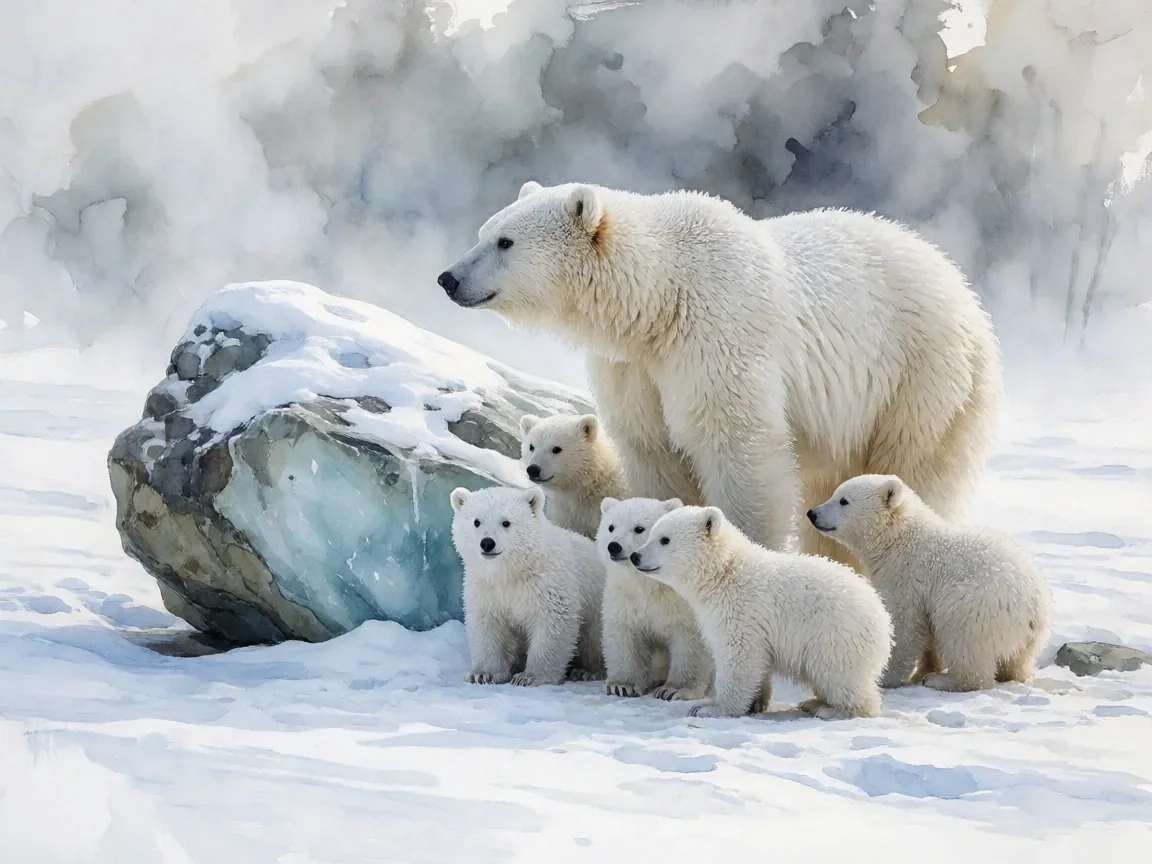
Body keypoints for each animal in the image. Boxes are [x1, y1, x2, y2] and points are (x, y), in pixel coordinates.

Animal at [438, 181, 1001, 570]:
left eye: (505, 242)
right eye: (484, 232)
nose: (448, 278)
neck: (659, 299)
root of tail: (961, 284)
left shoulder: (717, 334)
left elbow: (738, 446)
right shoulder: (634, 366)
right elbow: (655, 449)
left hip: (922, 379)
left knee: (914, 469)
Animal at [450, 485, 606, 685]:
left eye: (506, 522)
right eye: (477, 522)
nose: (487, 543)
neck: (513, 571)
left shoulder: (548, 584)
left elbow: (551, 625)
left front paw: (529, 677)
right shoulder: (486, 588)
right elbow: (488, 625)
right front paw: (483, 674)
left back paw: (586, 671)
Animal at [597, 496, 712, 701]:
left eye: (639, 528)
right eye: (611, 527)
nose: (614, 546)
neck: (650, 584)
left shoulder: (683, 606)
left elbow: (689, 642)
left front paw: (674, 690)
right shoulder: (625, 598)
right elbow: (624, 634)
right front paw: (621, 685)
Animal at [630, 504, 893, 720]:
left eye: (664, 539)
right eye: (650, 533)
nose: (635, 556)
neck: (725, 572)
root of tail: (883, 618)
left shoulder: (740, 611)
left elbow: (739, 656)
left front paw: (710, 708)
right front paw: (756, 702)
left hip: (835, 636)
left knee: (839, 676)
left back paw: (832, 709)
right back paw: (813, 702)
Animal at [807, 474, 1053, 692]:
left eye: (843, 500)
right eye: (834, 493)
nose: (812, 513)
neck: (900, 540)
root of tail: (1033, 607)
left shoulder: (907, 577)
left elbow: (905, 625)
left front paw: (887, 677)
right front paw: (921, 670)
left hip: (978, 605)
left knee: (962, 637)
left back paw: (944, 680)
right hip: (1028, 636)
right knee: (1018, 660)